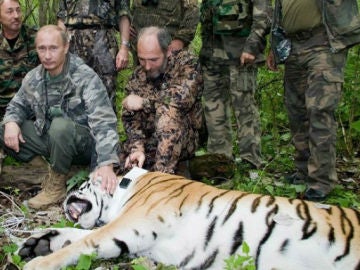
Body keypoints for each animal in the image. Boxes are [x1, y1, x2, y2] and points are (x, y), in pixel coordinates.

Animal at [17, 167, 360, 270]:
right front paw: (36, 243)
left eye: (83, 183)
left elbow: (83, 241)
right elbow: (77, 236)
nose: (64, 195)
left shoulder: (133, 223)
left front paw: (36, 263)